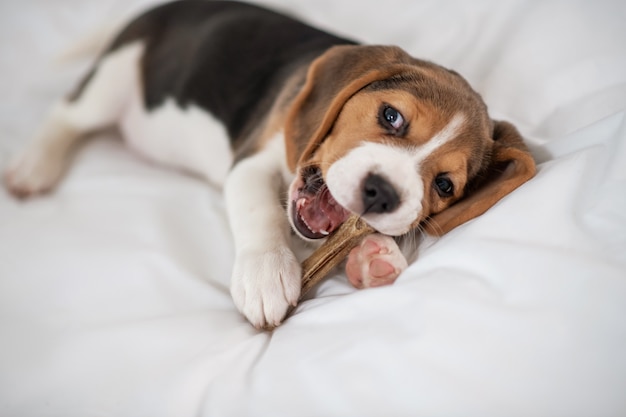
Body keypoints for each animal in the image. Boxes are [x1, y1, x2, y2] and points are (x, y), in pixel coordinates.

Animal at [2, 0, 532, 326]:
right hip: (114, 77)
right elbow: (261, 213)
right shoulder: (252, 163)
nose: (383, 193)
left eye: (444, 185)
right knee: (66, 113)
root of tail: (161, 7)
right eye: (391, 116)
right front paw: (266, 273)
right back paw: (35, 165)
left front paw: (376, 257)